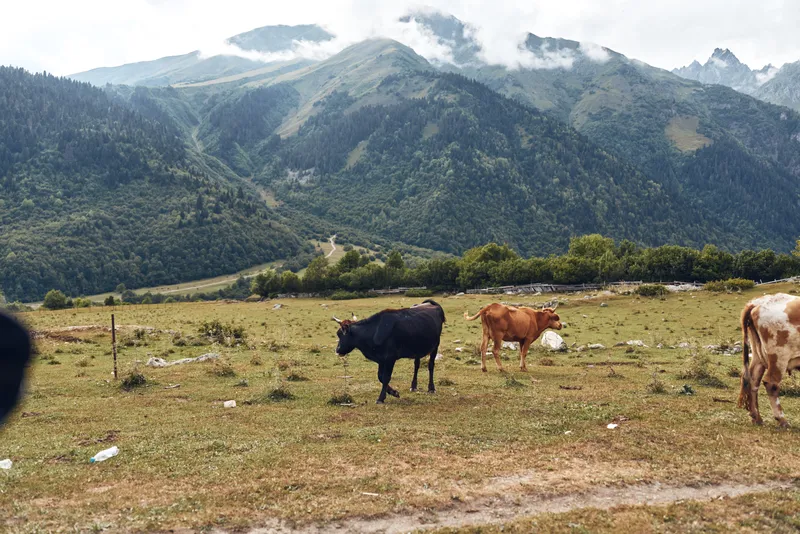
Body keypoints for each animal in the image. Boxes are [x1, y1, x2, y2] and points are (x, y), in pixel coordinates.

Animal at [738, 293, 800, 427]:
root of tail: (758, 302)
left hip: (758, 356)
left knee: (752, 380)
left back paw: (756, 417)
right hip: (779, 356)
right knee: (771, 383)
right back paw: (782, 419)